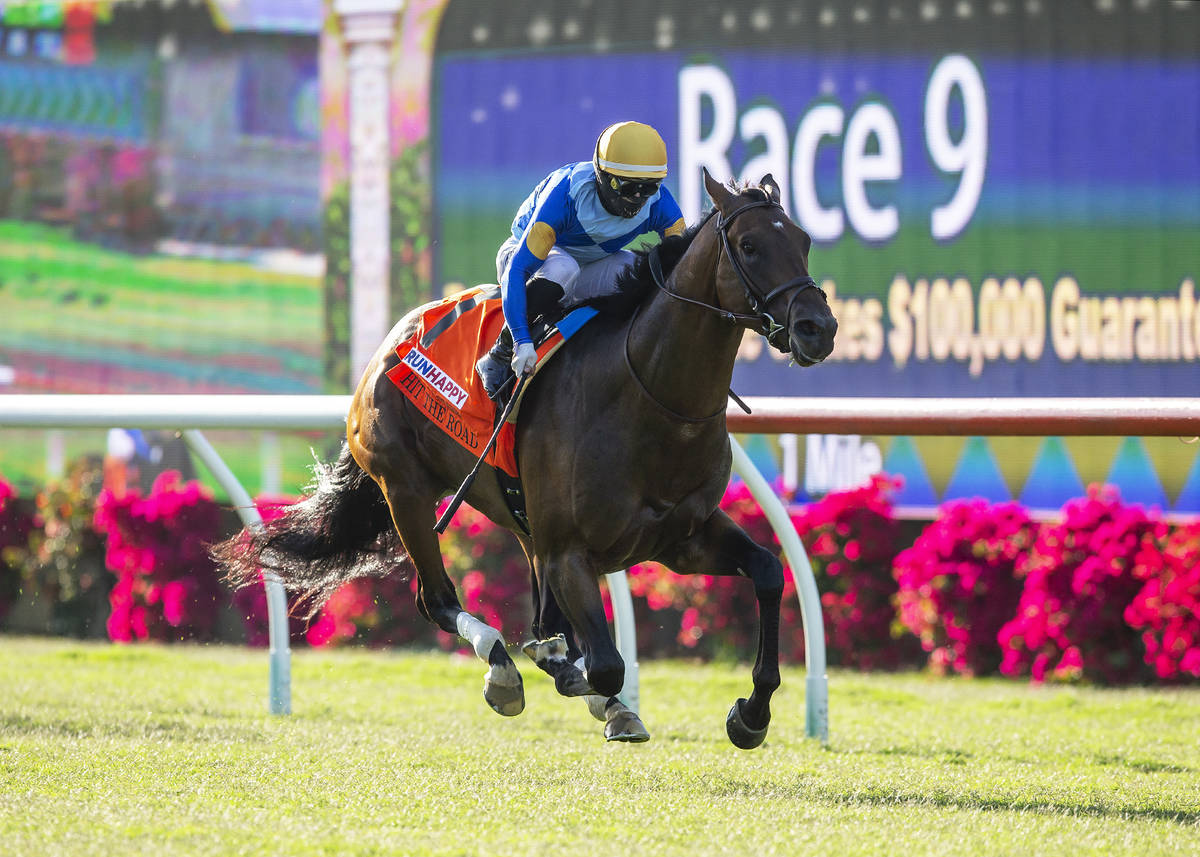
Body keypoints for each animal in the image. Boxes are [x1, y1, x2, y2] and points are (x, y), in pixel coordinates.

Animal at [213, 170, 835, 744]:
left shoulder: (681, 537)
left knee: (538, 619)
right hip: (406, 489)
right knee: (436, 600)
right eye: (749, 245)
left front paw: (750, 714)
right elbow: (605, 664)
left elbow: (768, 571)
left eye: (804, 240)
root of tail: (395, 335)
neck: (651, 398)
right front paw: (584, 687)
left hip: (519, 521)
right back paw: (502, 669)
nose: (818, 328)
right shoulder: (569, 552)